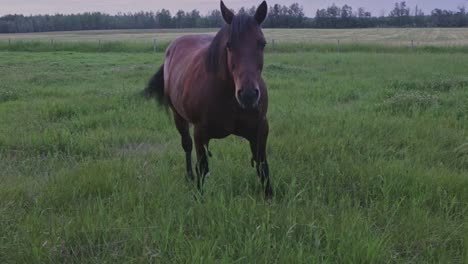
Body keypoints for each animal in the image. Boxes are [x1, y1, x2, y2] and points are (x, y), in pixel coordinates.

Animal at [144, 0, 272, 198]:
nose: (248, 94)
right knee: (186, 145)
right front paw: (199, 197)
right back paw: (189, 177)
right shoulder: (200, 133)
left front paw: (269, 197)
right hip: (178, 117)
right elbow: (202, 168)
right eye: (229, 45)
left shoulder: (260, 130)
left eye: (262, 43)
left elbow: (262, 167)